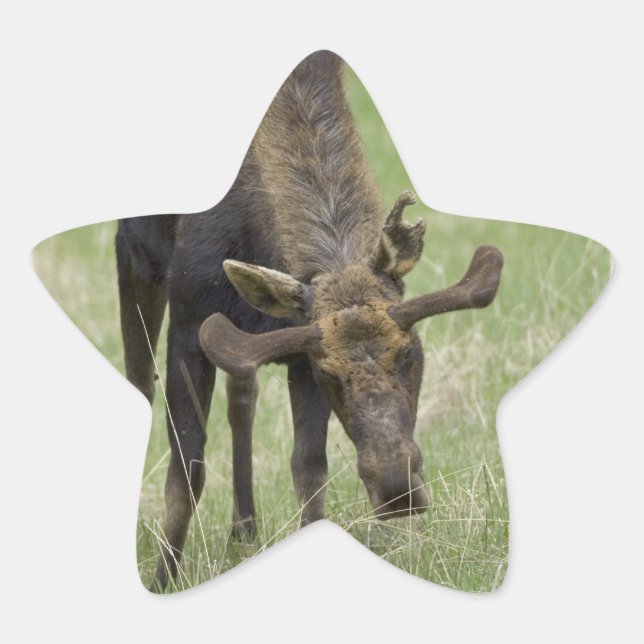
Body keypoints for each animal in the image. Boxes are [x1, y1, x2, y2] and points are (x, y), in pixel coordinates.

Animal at [115, 50, 503, 591]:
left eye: (410, 353)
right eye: (332, 374)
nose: (397, 489)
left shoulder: (294, 345)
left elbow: (309, 469)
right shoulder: (192, 325)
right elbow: (186, 469)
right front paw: (162, 579)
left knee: (243, 397)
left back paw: (245, 528)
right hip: (134, 257)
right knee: (138, 381)